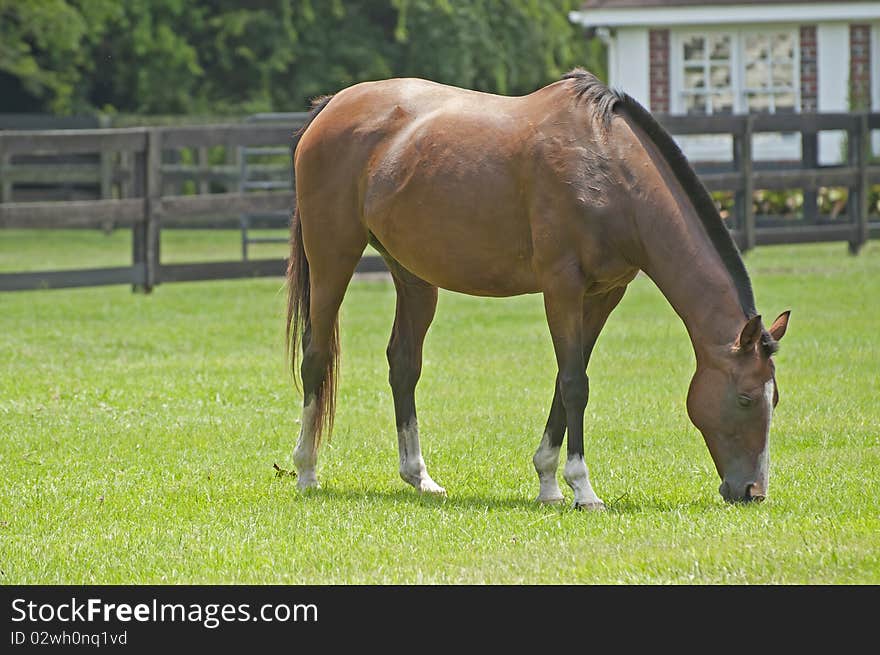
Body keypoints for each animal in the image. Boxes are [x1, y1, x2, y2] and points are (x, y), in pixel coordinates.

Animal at [288, 69, 792, 508]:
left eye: (775, 399)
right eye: (746, 397)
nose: (753, 491)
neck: (609, 171)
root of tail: (333, 105)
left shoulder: (604, 295)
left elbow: (565, 379)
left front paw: (549, 482)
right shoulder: (561, 287)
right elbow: (574, 384)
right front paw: (583, 488)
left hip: (413, 276)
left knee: (404, 364)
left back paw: (419, 477)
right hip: (333, 257)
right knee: (316, 355)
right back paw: (306, 471)